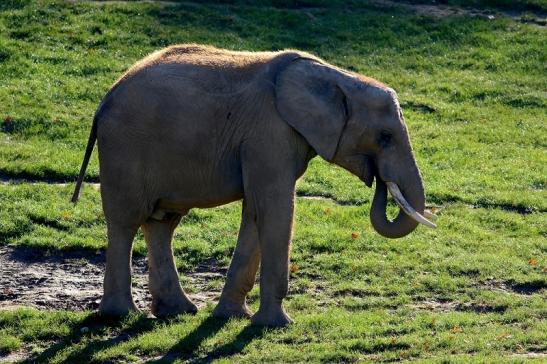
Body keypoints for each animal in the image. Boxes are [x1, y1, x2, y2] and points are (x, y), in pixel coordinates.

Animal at [70, 43, 436, 328]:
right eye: (384, 137)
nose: (379, 181)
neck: (336, 77)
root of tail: (104, 100)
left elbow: (256, 213)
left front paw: (232, 318)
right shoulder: (269, 134)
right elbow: (275, 209)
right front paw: (276, 325)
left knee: (161, 223)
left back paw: (178, 312)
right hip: (124, 149)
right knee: (125, 222)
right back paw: (121, 315)